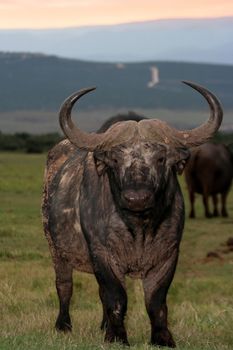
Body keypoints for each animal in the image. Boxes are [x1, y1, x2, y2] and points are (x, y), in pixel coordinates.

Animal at [42, 82, 223, 348]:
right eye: (116, 160)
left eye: (160, 158)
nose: (136, 198)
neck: (140, 228)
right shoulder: (102, 254)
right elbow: (117, 297)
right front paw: (117, 337)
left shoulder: (168, 254)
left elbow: (156, 301)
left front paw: (162, 338)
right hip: (55, 248)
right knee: (64, 285)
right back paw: (63, 325)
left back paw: (103, 326)